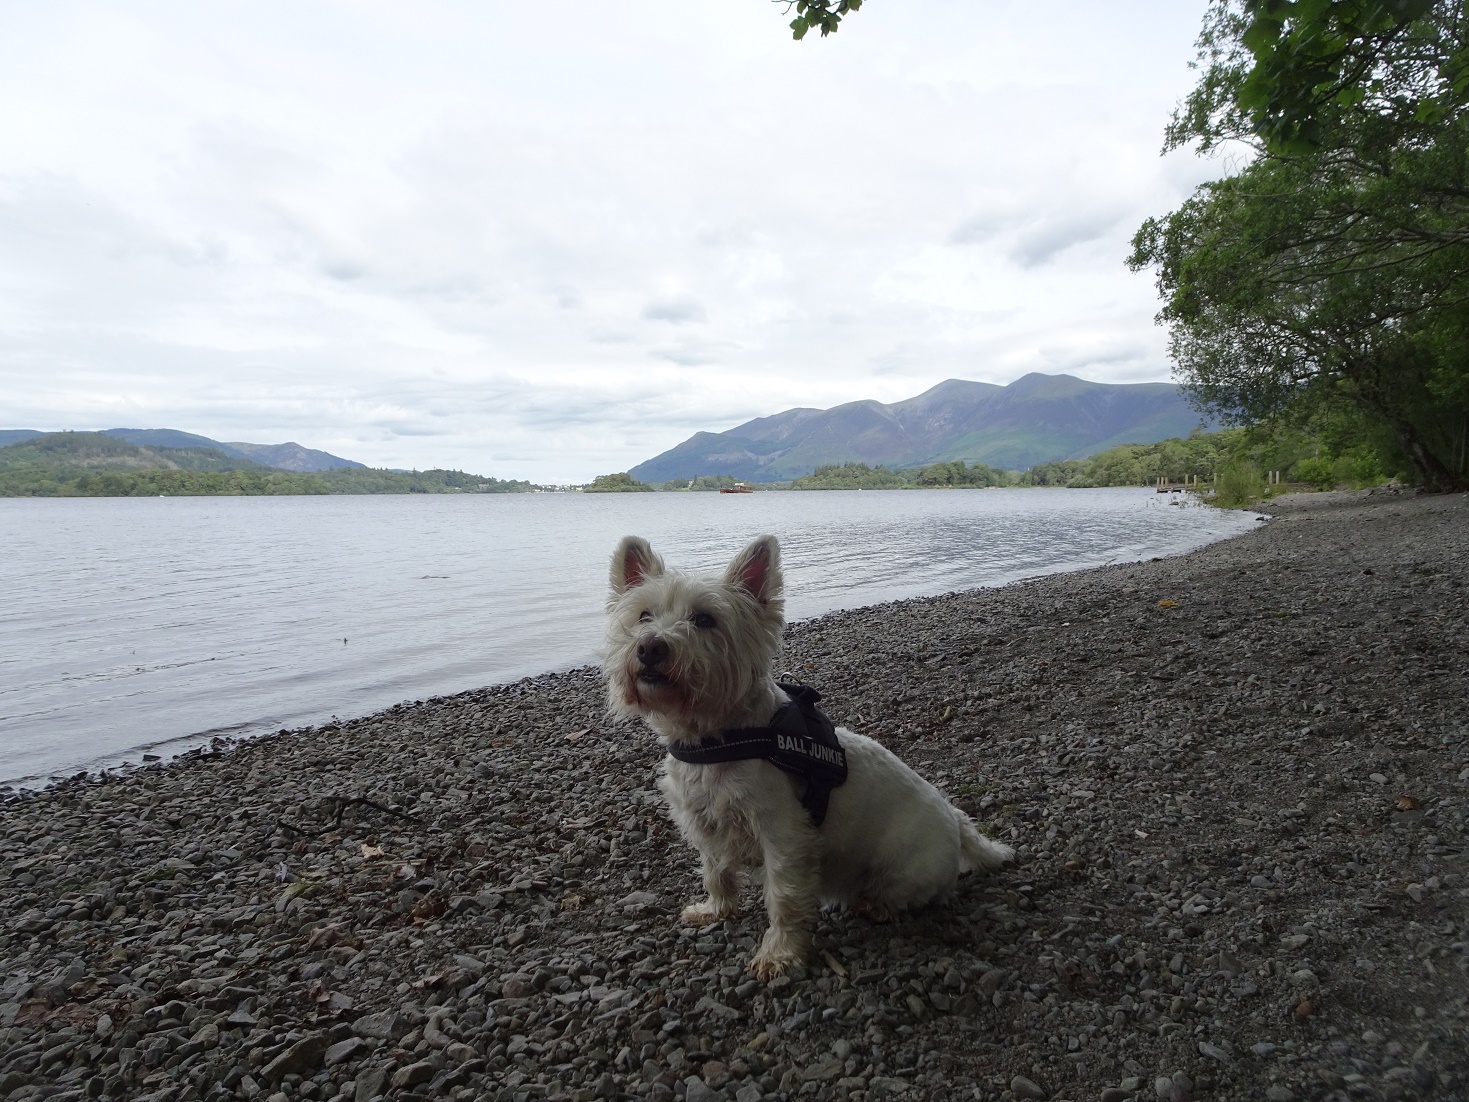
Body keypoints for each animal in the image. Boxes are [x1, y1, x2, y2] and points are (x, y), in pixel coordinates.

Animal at [602, 534, 1016, 981]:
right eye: (644, 615)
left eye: (705, 619)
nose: (650, 647)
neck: (717, 739)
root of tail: (954, 820)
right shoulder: (705, 824)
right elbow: (716, 873)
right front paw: (714, 910)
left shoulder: (783, 836)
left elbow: (783, 898)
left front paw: (780, 955)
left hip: (909, 867)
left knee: (904, 892)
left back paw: (872, 904)